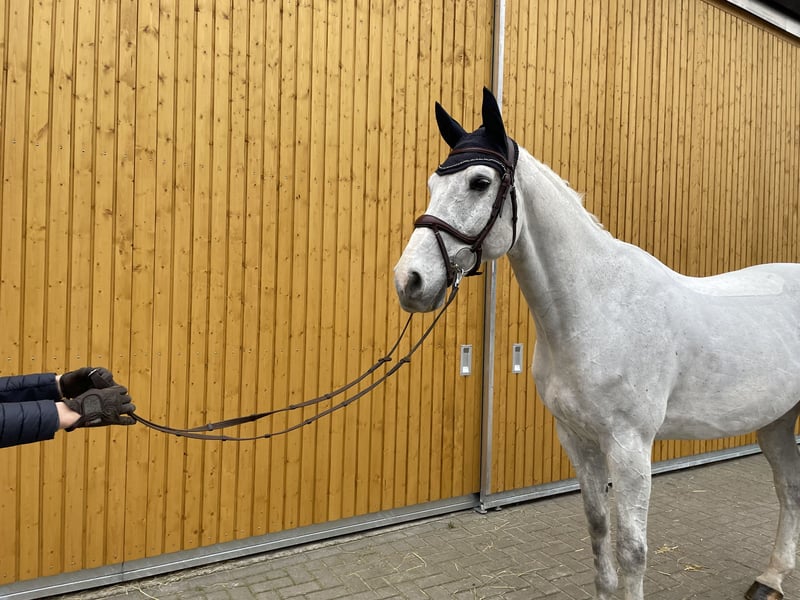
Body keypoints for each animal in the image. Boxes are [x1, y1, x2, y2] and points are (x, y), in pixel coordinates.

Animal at [394, 87, 800, 600]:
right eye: (433, 183)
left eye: (480, 182)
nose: (410, 281)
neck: (596, 309)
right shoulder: (578, 438)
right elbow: (597, 527)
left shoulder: (629, 445)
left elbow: (632, 548)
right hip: (776, 421)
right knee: (789, 488)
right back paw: (770, 578)